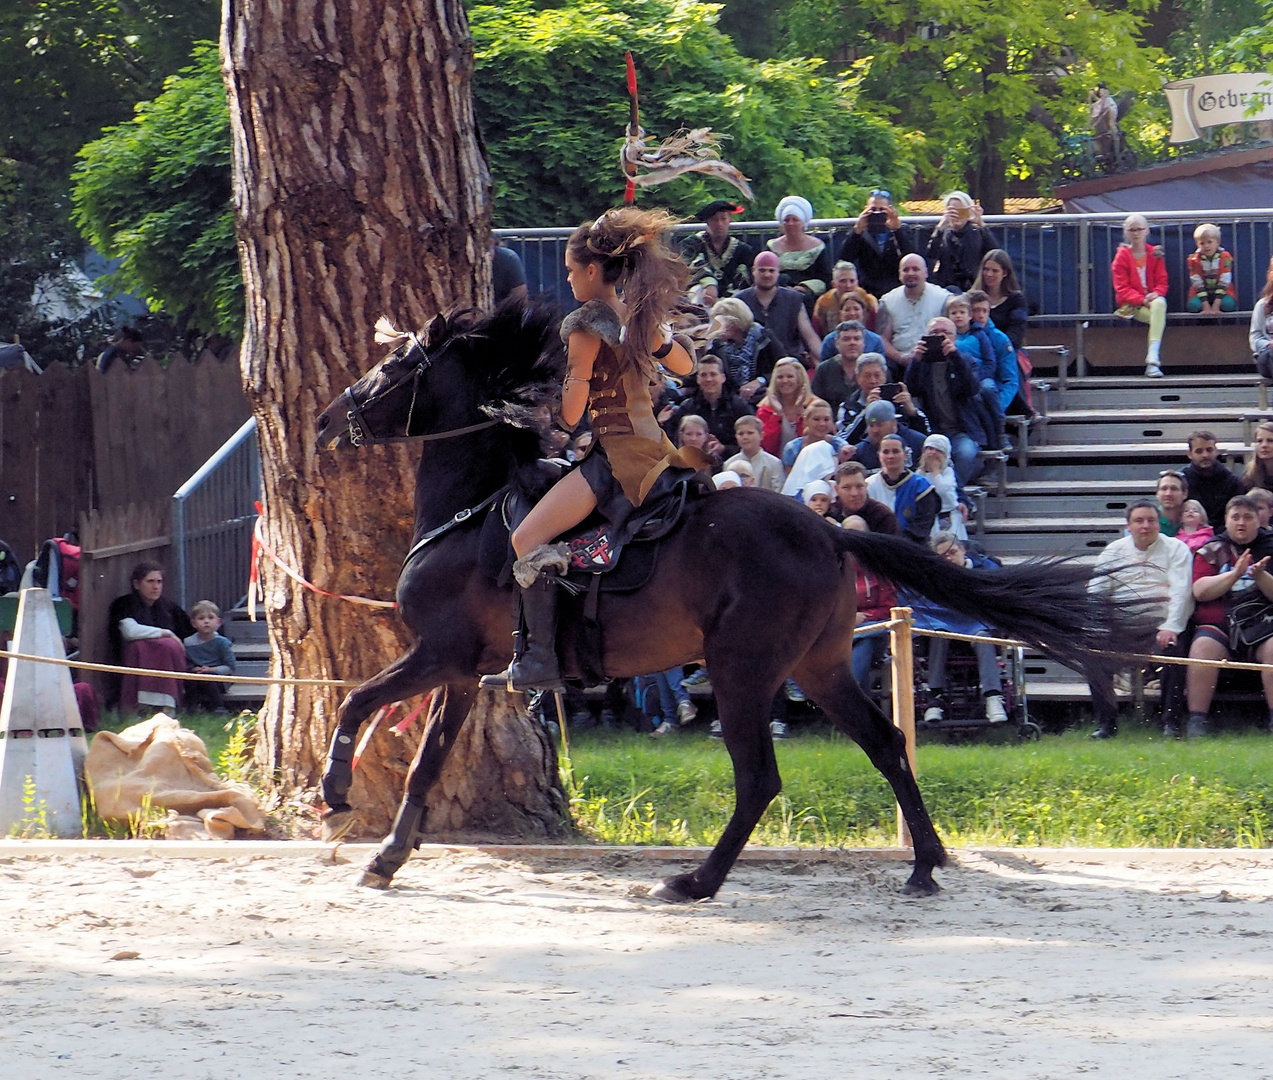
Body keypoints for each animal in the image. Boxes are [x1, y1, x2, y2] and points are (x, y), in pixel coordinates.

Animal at [318, 299, 1135, 896]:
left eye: (392, 366)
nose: (328, 420)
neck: (473, 508)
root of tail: (828, 530)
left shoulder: (439, 651)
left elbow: (356, 702)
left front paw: (334, 795)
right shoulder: (462, 668)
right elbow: (426, 761)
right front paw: (387, 856)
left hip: (742, 667)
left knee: (759, 777)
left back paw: (697, 881)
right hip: (817, 665)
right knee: (885, 742)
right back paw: (924, 864)